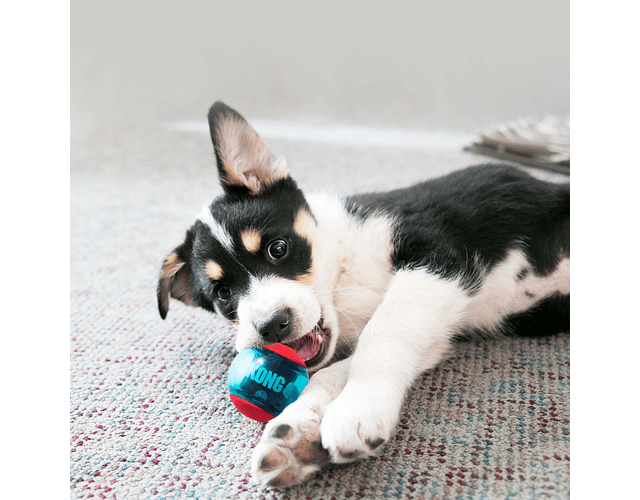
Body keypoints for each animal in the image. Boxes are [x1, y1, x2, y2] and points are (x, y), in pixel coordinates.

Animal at [157, 101, 570, 487]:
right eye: (223, 292)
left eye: (278, 249)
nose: (272, 326)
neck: (343, 271)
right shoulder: (436, 327)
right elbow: (334, 371)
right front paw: (298, 434)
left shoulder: (438, 260)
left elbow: (383, 332)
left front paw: (358, 410)